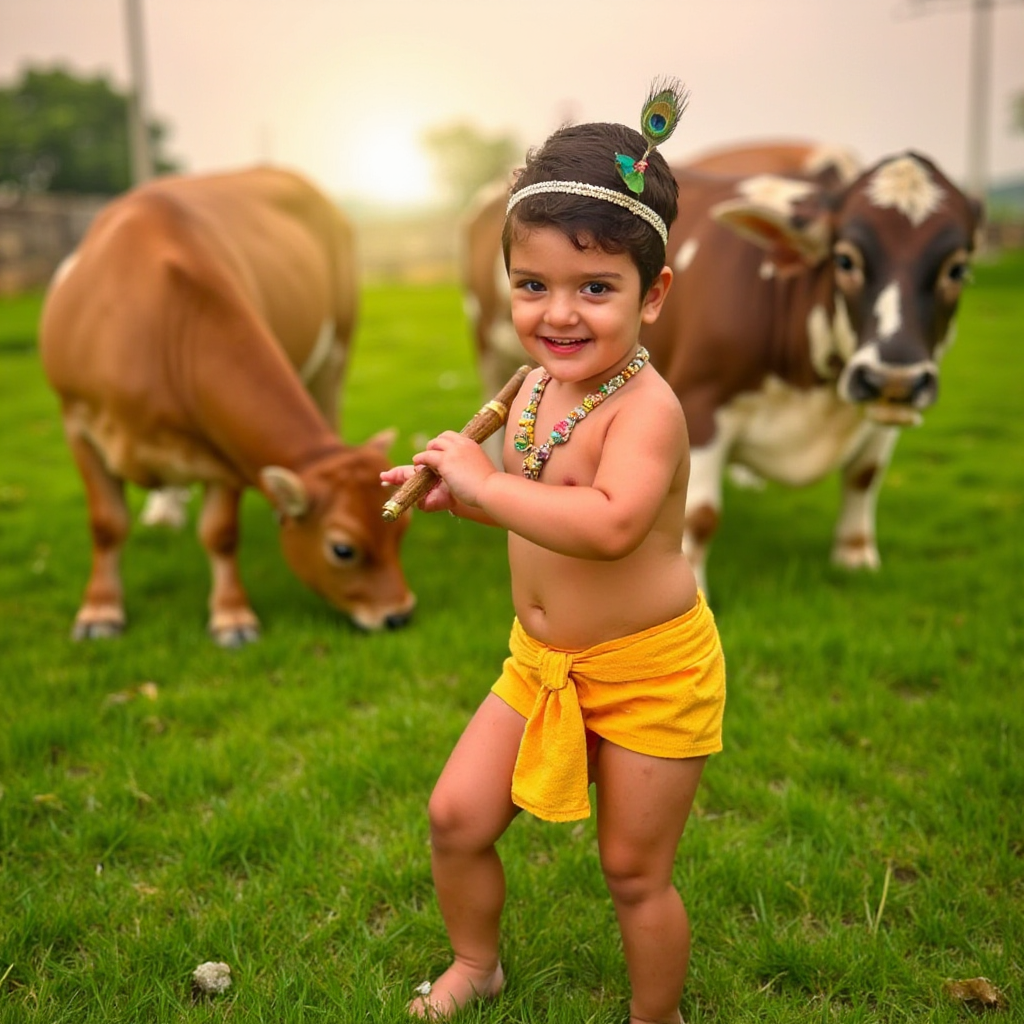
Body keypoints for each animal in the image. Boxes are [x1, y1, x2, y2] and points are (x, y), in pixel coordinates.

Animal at [38, 167, 415, 647]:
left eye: (401, 531)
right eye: (343, 549)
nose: (399, 615)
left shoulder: (226, 454)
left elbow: (220, 534)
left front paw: (232, 616)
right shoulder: (77, 424)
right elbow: (107, 524)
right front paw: (100, 610)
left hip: (337, 349)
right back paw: (165, 510)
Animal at [460, 140, 978, 598]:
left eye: (958, 270)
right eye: (846, 259)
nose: (894, 375)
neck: (814, 391)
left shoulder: (885, 409)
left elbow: (863, 477)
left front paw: (855, 556)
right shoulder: (701, 399)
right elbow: (701, 513)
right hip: (487, 342)